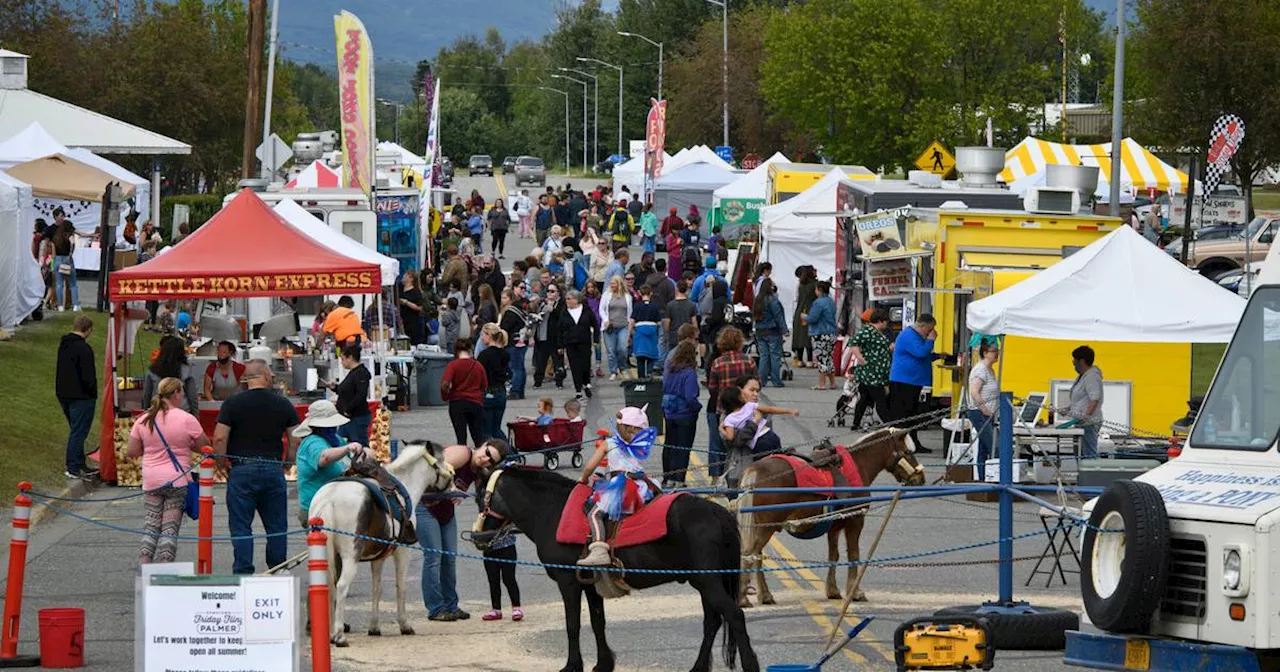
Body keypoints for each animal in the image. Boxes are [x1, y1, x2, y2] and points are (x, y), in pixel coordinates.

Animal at [305, 440, 455, 645]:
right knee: (341, 586)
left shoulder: (379, 556)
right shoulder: (403, 551)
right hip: (350, 557)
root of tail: (329, 500)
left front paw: (374, 627)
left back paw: (330, 634)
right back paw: (339, 635)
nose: (451, 480)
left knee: (330, 588)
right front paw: (404, 625)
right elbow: (401, 586)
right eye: (442, 460)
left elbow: (377, 588)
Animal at [483, 465, 752, 670]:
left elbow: (572, 624)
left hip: (708, 581)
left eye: (481, 494)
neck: (553, 512)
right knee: (712, 622)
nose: (479, 534)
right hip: (706, 582)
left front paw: (572, 665)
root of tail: (718, 513)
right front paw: (603, 663)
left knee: (734, 616)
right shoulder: (589, 585)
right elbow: (597, 622)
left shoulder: (568, 582)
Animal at [737, 430, 926, 606]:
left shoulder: (835, 525)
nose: (920, 479)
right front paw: (855, 592)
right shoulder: (855, 520)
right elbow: (854, 554)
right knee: (750, 553)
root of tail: (755, 470)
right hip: (766, 528)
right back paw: (743, 598)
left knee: (757, 556)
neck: (858, 463)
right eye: (908, 452)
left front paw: (833, 590)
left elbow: (833, 555)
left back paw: (765, 595)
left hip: (761, 527)